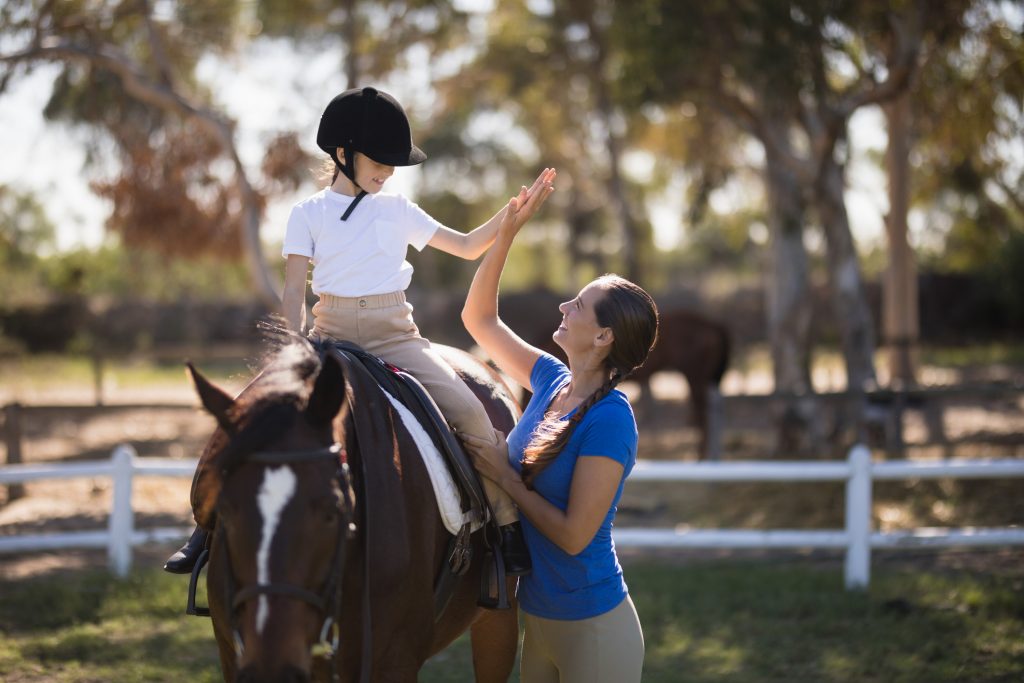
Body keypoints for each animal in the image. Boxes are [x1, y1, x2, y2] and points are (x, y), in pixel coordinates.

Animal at [187, 339, 520, 683]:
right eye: (225, 510)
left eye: (332, 510)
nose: (271, 669)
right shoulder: (232, 656)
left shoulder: (393, 661)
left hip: (497, 623)